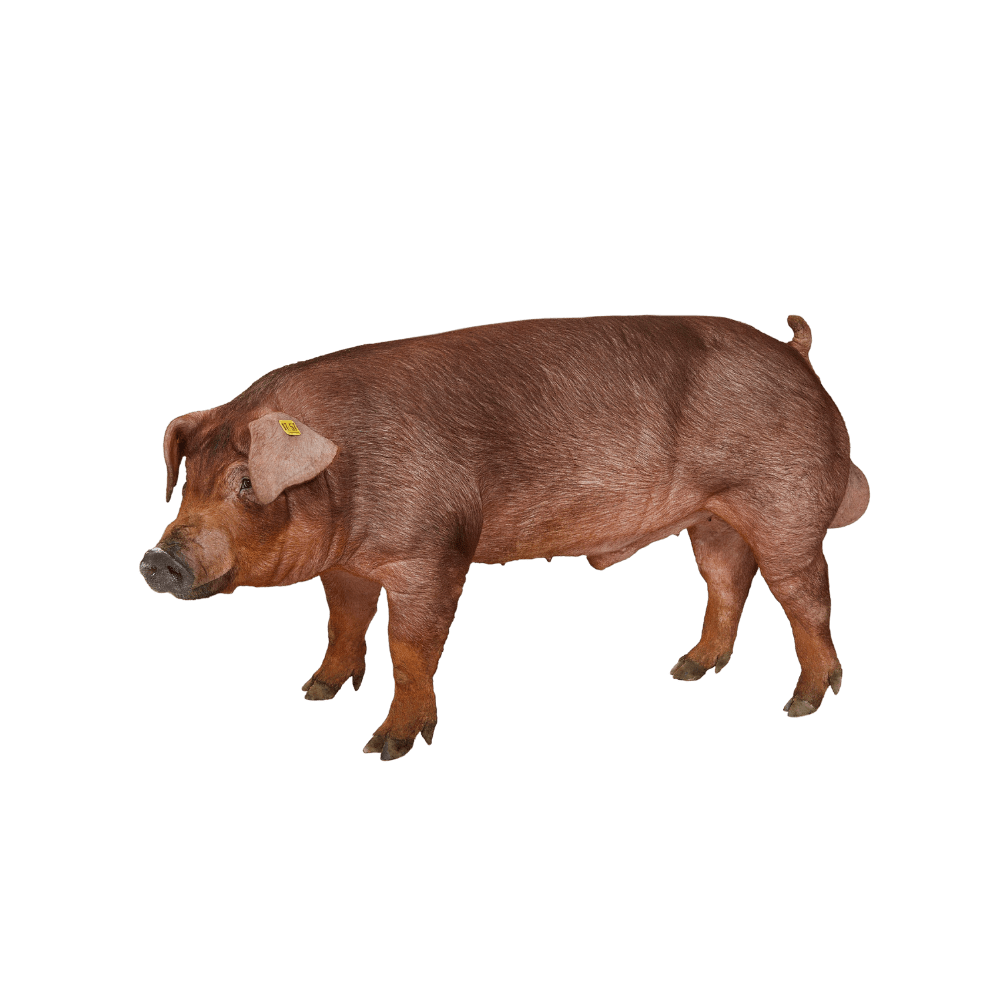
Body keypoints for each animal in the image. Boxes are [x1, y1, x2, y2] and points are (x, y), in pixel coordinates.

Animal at [139, 313, 870, 760]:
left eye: (244, 482)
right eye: (188, 480)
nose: (156, 560)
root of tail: (798, 356)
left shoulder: (433, 553)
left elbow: (410, 649)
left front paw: (386, 747)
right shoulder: (346, 567)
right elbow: (343, 623)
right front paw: (315, 692)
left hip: (789, 504)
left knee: (807, 597)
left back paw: (802, 705)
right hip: (714, 519)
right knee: (727, 580)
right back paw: (687, 670)